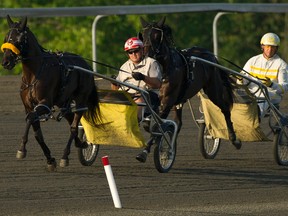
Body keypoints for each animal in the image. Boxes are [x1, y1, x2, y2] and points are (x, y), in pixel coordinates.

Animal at [1, 14, 101, 170]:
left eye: (19, 40)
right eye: (6, 38)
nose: (5, 62)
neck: (34, 74)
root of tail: (86, 66)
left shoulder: (44, 104)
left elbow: (30, 119)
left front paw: (21, 149)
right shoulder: (28, 107)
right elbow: (37, 133)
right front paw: (49, 160)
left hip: (80, 100)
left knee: (73, 127)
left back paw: (65, 156)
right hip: (63, 102)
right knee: (71, 121)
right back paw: (81, 143)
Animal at [136, 16, 240, 162]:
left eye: (157, 36)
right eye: (143, 35)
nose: (147, 55)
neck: (166, 69)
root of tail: (210, 55)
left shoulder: (167, 102)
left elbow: (157, 126)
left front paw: (144, 152)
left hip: (213, 89)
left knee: (224, 108)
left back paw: (234, 139)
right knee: (178, 123)